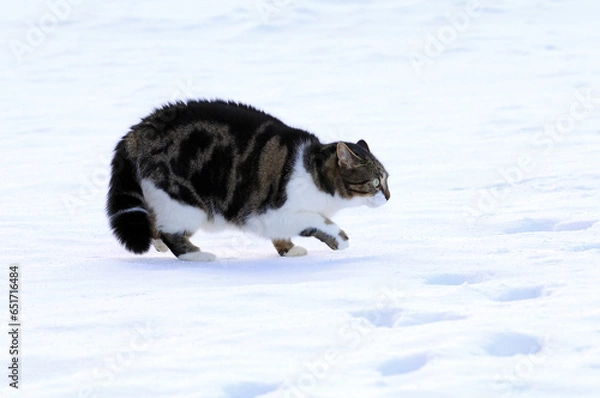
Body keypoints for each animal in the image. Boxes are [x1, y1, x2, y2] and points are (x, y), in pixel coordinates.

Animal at [106, 99, 392, 262]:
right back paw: (197, 255)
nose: (389, 196)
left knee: (156, 225)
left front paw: (289, 250)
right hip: (186, 203)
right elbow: (316, 221)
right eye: (375, 182)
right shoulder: (269, 212)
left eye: (387, 179)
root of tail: (137, 132)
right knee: (169, 232)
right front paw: (340, 239)